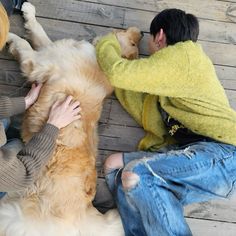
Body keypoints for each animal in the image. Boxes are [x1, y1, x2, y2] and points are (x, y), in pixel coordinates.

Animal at [0, 1, 142, 236]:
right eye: (133, 42)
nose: (141, 33)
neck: (103, 65)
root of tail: (84, 214)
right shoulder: (52, 50)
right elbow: (39, 32)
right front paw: (29, 13)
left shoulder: (39, 61)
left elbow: (24, 43)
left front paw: (9, 35)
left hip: (13, 213)